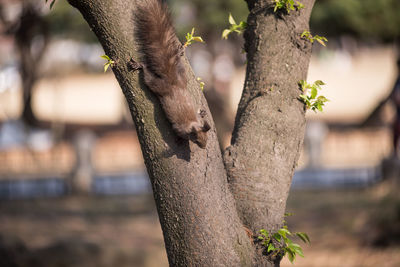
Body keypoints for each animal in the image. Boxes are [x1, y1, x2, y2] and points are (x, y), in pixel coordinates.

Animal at [130, 0, 211, 150]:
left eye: (206, 138)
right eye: (197, 140)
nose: (203, 147)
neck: (192, 123)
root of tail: (173, 80)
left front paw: (201, 113)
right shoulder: (179, 128)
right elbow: (178, 133)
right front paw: (179, 140)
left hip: (183, 75)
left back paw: (178, 53)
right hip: (158, 85)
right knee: (148, 77)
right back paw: (140, 66)